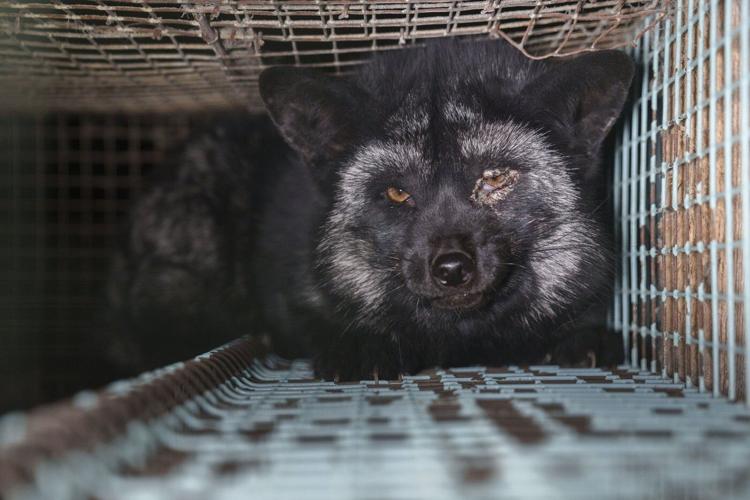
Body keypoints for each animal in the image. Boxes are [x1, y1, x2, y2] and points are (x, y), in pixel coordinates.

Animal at [108, 40, 634, 380]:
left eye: (494, 178)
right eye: (397, 193)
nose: (451, 268)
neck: (461, 340)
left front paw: (582, 339)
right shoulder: (291, 292)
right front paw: (364, 345)